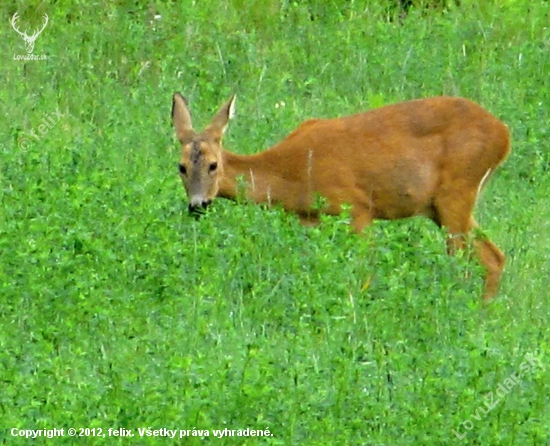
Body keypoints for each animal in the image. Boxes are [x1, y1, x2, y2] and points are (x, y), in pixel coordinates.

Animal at [174, 93, 512, 300]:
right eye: (180, 167)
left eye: (213, 165)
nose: (198, 205)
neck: (292, 174)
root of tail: (504, 133)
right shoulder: (312, 220)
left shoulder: (357, 207)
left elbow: (364, 270)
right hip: (442, 206)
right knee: (493, 256)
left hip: (457, 192)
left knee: (473, 260)